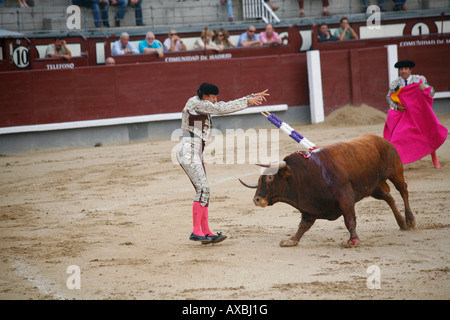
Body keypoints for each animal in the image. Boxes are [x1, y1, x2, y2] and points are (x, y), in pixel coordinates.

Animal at [239, 134, 414, 246]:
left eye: (270, 177)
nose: (257, 199)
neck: (305, 174)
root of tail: (381, 139)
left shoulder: (345, 198)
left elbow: (349, 219)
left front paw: (353, 240)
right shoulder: (309, 207)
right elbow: (303, 225)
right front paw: (291, 240)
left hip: (395, 172)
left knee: (403, 190)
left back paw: (410, 220)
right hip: (374, 187)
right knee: (389, 197)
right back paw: (402, 223)